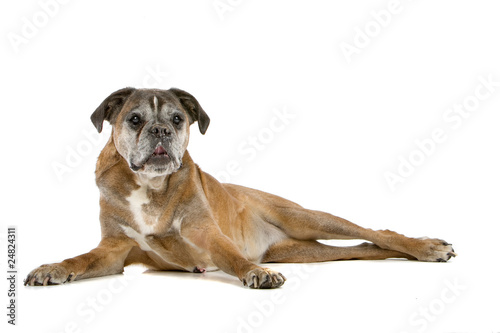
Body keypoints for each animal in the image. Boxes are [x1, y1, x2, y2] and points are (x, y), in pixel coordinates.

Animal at [26, 88, 458, 288]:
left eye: (178, 118)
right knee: (366, 248)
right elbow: (80, 259)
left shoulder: (207, 235)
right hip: (305, 250)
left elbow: (234, 259)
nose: (162, 130)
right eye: (134, 119)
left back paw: (427, 247)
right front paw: (52, 268)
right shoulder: (113, 251)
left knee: (377, 232)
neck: (149, 186)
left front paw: (255, 272)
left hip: (309, 219)